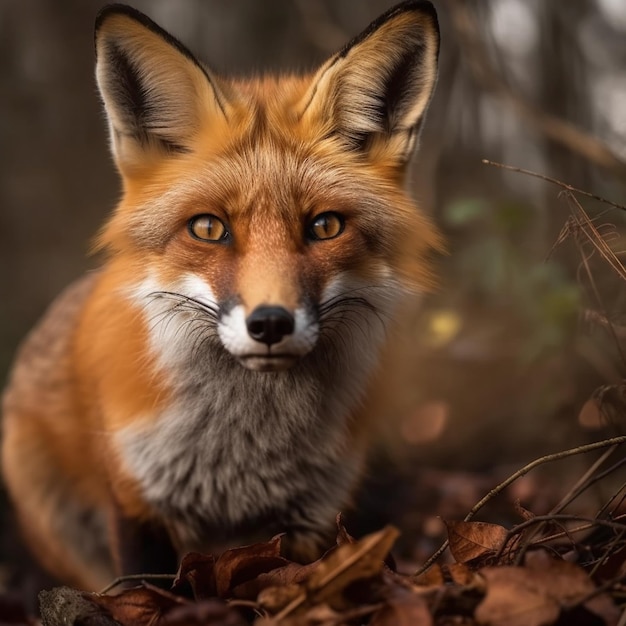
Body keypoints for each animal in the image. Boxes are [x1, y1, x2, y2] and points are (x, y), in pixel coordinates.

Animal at [1, 0, 438, 588]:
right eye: (208, 229)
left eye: (325, 226)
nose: (271, 324)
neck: (243, 455)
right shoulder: (138, 504)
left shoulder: (310, 517)